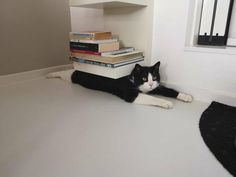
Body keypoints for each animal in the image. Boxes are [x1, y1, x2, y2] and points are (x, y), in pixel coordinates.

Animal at [47, 61, 193, 108]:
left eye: (155, 77)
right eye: (144, 78)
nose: (151, 84)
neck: (132, 78)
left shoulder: (155, 88)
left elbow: (169, 90)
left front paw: (186, 96)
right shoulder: (130, 94)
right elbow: (151, 98)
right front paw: (166, 102)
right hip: (74, 77)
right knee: (66, 73)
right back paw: (50, 74)